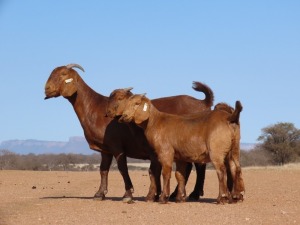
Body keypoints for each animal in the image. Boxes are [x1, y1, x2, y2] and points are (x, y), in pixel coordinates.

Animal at [43, 63, 214, 202]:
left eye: (63, 74)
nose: (46, 89)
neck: (95, 107)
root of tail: (202, 103)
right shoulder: (105, 149)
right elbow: (103, 169)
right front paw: (99, 193)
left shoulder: (116, 146)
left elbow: (122, 168)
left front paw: (128, 194)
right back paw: (176, 194)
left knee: (199, 166)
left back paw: (193, 194)